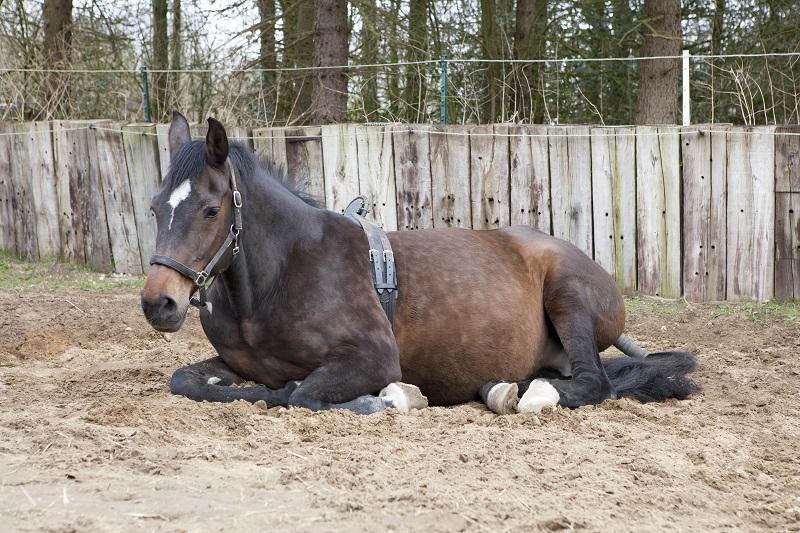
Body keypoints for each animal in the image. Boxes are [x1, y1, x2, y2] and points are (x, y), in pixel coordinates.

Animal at [139, 112, 700, 416]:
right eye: (155, 207)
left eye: (211, 210)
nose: (158, 303)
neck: (278, 279)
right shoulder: (238, 363)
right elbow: (188, 382)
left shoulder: (371, 358)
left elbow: (300, 393)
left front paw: (390, 399)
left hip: (568, 294)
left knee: (592, 384)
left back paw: (524, 392)